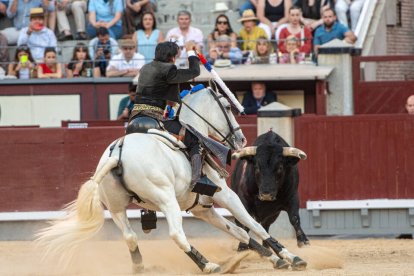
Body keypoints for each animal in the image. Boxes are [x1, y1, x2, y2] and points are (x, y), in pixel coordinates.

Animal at [36, 86, 308, 274]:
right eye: (228, 107)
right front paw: (291, 257)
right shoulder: (224, 194)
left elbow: (239, 232)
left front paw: (274, 258)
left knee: (130, 237)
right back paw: (208, 265)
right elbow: (253, 224)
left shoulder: (202, 208)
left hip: (115, 208)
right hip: (166, 200)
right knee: (177, 234)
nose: (241, 139)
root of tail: (117, 155)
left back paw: (140, 268)